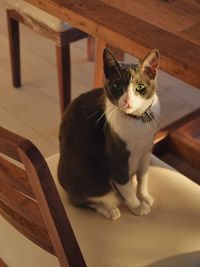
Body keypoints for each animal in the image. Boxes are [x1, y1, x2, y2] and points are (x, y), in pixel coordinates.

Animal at [57, 47, 159, 220]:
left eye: (140, 87)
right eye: (117, 86)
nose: (127, 101)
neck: (136, 121)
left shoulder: (146, 149)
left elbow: (143, 175)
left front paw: (144, 196)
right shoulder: (115, 157)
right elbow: (125, 185)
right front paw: (137, 206)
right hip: (88, 177)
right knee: (80, 200)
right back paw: (109, 209)